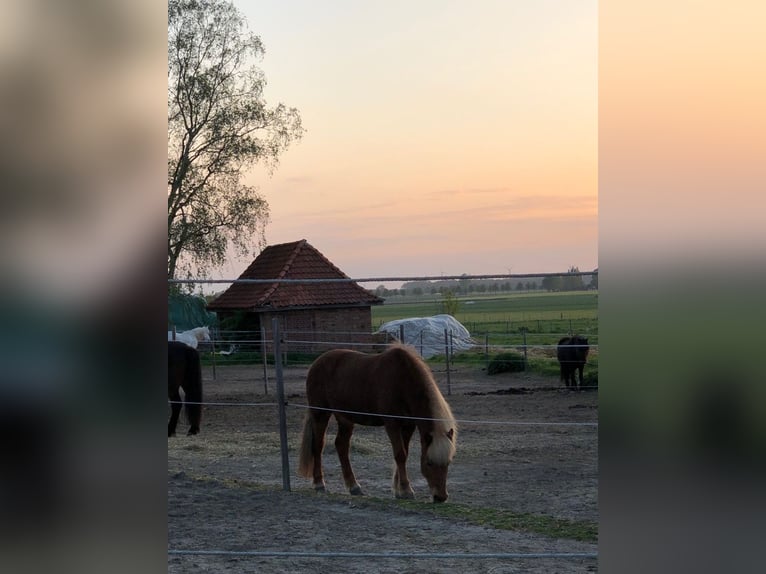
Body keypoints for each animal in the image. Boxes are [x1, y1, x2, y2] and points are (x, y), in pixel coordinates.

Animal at [298, 346, 456, 504]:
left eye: (448, 462)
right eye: (429, 463)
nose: (441, 497)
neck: (403, 381)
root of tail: (317, 362)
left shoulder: (408, 426)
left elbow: (404, 452)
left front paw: (398, 490)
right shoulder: (392, 424)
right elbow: (400, 454)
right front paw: (406, 490)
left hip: (345, 418)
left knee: (341, 445)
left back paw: (354, 486)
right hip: (321, 414)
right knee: (318, 445)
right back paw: (319, 483)